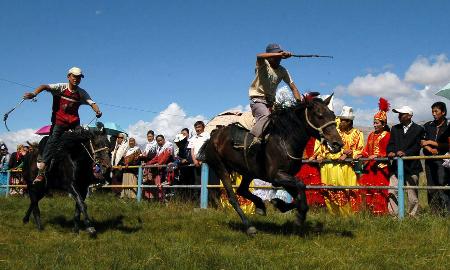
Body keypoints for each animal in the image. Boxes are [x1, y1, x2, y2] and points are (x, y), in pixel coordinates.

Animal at [199, 94, 342, 234]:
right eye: (319, 115)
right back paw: (249, 226)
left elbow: (298, 196)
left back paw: (260, 206)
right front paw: (299, 218)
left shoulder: (285, 177)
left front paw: (279, 204)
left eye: (333, 115)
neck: (285, 140)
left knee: (242, 190)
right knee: (233, 197)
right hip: (221, 168)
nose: (337, 144)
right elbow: (301, 186)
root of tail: (212, 138)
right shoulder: (276, 176)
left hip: (248, 172)